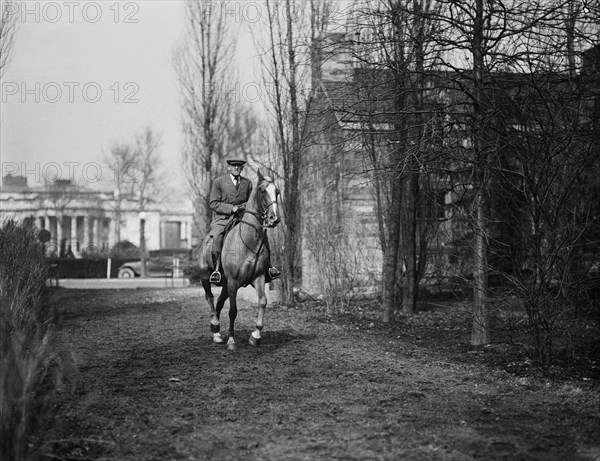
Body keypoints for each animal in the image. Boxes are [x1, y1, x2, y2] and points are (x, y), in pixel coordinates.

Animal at [196, 169, 282, 348]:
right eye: (262, 191)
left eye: (277, 192)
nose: (274, 219)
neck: (249, 240)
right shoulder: (233, 282)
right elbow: (233, 310)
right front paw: (231, 340)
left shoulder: (258, 277)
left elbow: (262, 302)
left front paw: (255, 335)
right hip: (205, 278)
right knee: (210, 298)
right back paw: (215, 327)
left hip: (225, 284)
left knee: (219, 302)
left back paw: (216, 330)